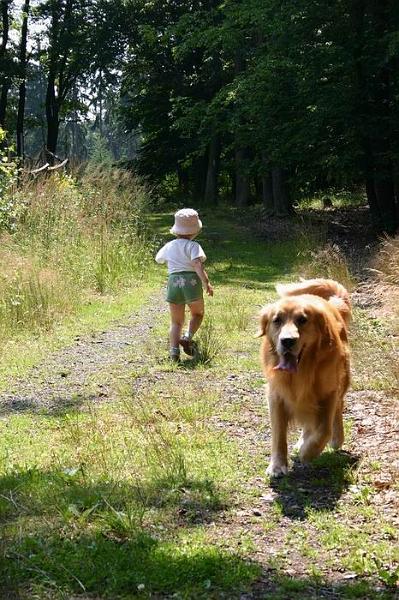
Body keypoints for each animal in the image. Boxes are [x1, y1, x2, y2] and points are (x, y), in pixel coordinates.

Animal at [258, 278, 352, 478]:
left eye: (302, 320)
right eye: (276, 320)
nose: (287, 341)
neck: (302, 371)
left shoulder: (328, 392)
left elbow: (324, 429)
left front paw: (308, 452)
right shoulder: (277, 395)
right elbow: (278, 434)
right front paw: (277, 465)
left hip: (343, 378)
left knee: (337, 409)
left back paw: (336, 438)